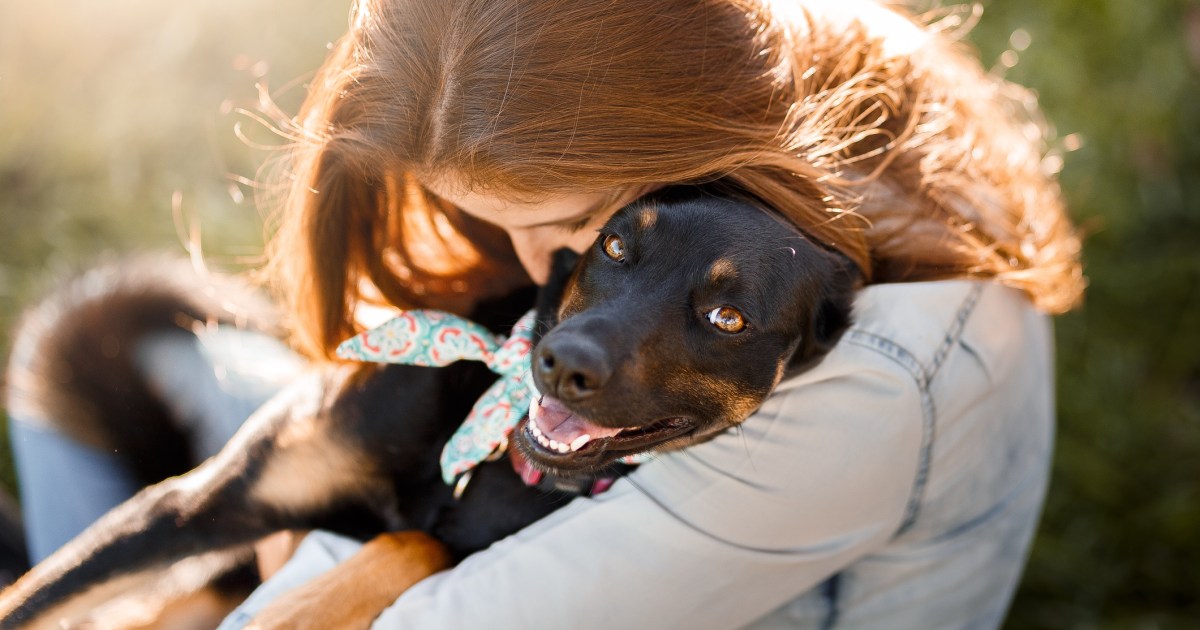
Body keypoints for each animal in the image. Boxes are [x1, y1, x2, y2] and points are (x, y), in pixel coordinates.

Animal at [0, 189, 864, 624]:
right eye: (616, 245)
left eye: (728, 318)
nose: (560, 365)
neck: (483, 442)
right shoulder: (196, 505)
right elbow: (34, 599)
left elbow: (416, 544)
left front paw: (301, 608)